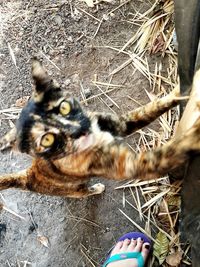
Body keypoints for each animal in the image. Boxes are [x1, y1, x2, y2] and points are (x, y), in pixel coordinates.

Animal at [0, 59, 199, 199]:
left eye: (64, 107)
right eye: (47, 139)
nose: (79, 130)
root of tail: (29, 176)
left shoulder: (121, 124)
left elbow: (149, 110)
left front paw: (179, 90)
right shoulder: (130, 165)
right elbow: (168, 152)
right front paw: (194, 134)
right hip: (75, 189)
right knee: (83, 192)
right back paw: (96, 188)